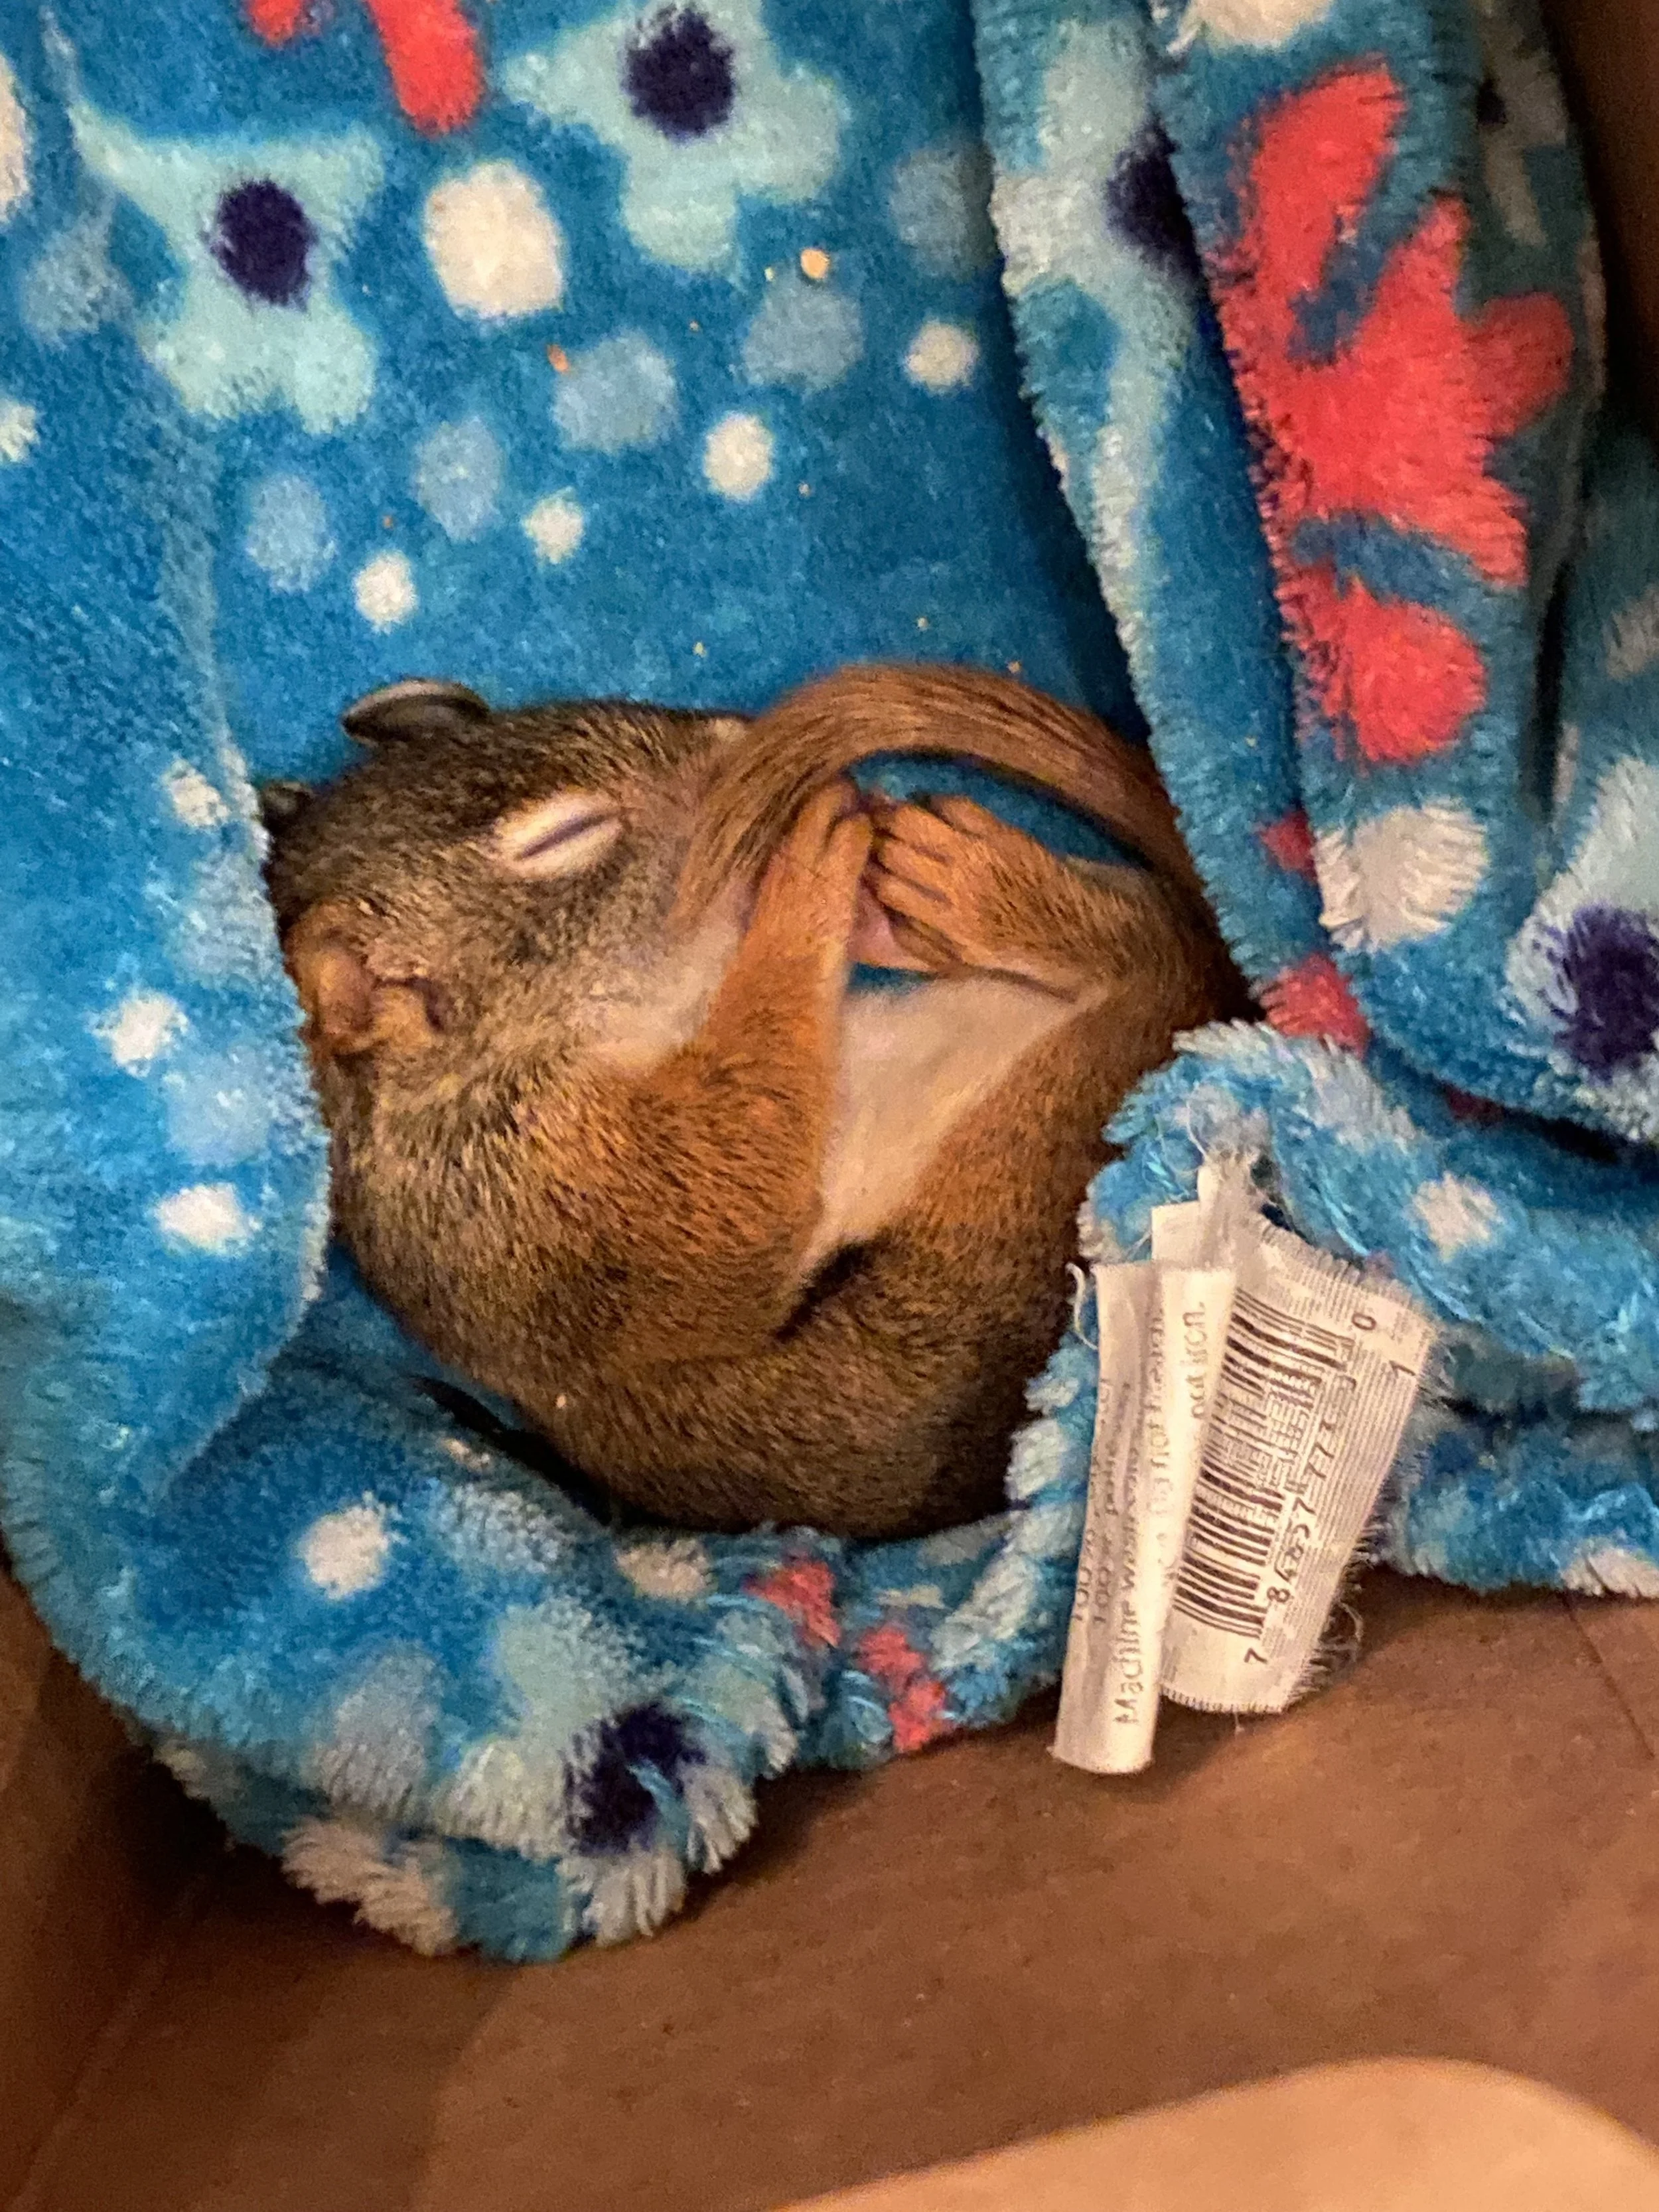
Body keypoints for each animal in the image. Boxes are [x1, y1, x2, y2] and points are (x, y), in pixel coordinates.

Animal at [261, 662, 1246, 1541]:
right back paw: (981, 893)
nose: (744, 740)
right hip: (1042, 1143)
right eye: (564, 837)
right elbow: (735, 1174)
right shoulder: (549, 1207)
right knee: (1150, 944)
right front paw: (805, 874)